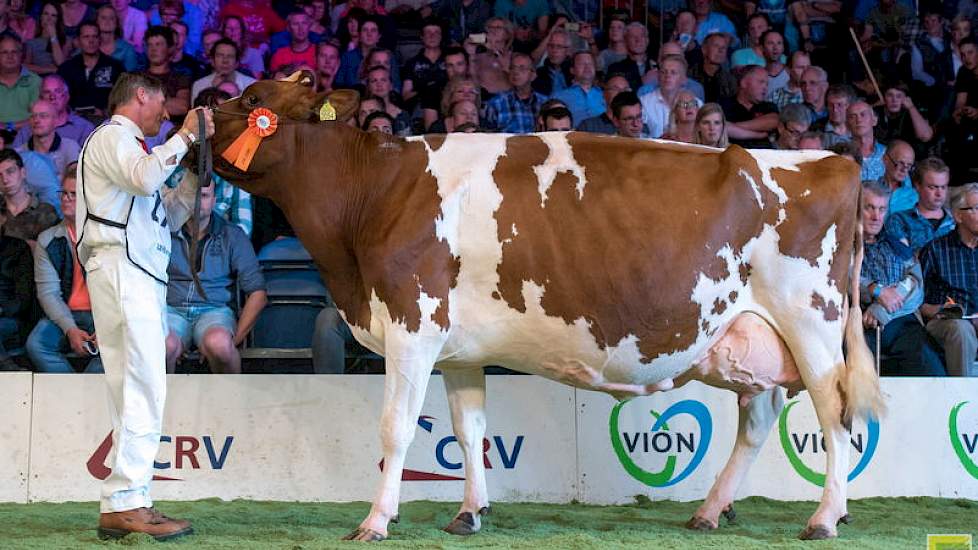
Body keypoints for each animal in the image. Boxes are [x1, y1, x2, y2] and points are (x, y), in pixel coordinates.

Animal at [206, 77, 884, 544]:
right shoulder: (458, 349)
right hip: (751, 339)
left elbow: (396, 428)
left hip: (812, 324)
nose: (203, 101)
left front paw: (375, 521)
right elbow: (470, 430)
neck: (374, 196)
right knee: (760, 418)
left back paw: (825, 517)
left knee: (834, 415)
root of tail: (834, 160)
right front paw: (469, 513)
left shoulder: (411, 326)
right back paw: (710, 512)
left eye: (253, 98)